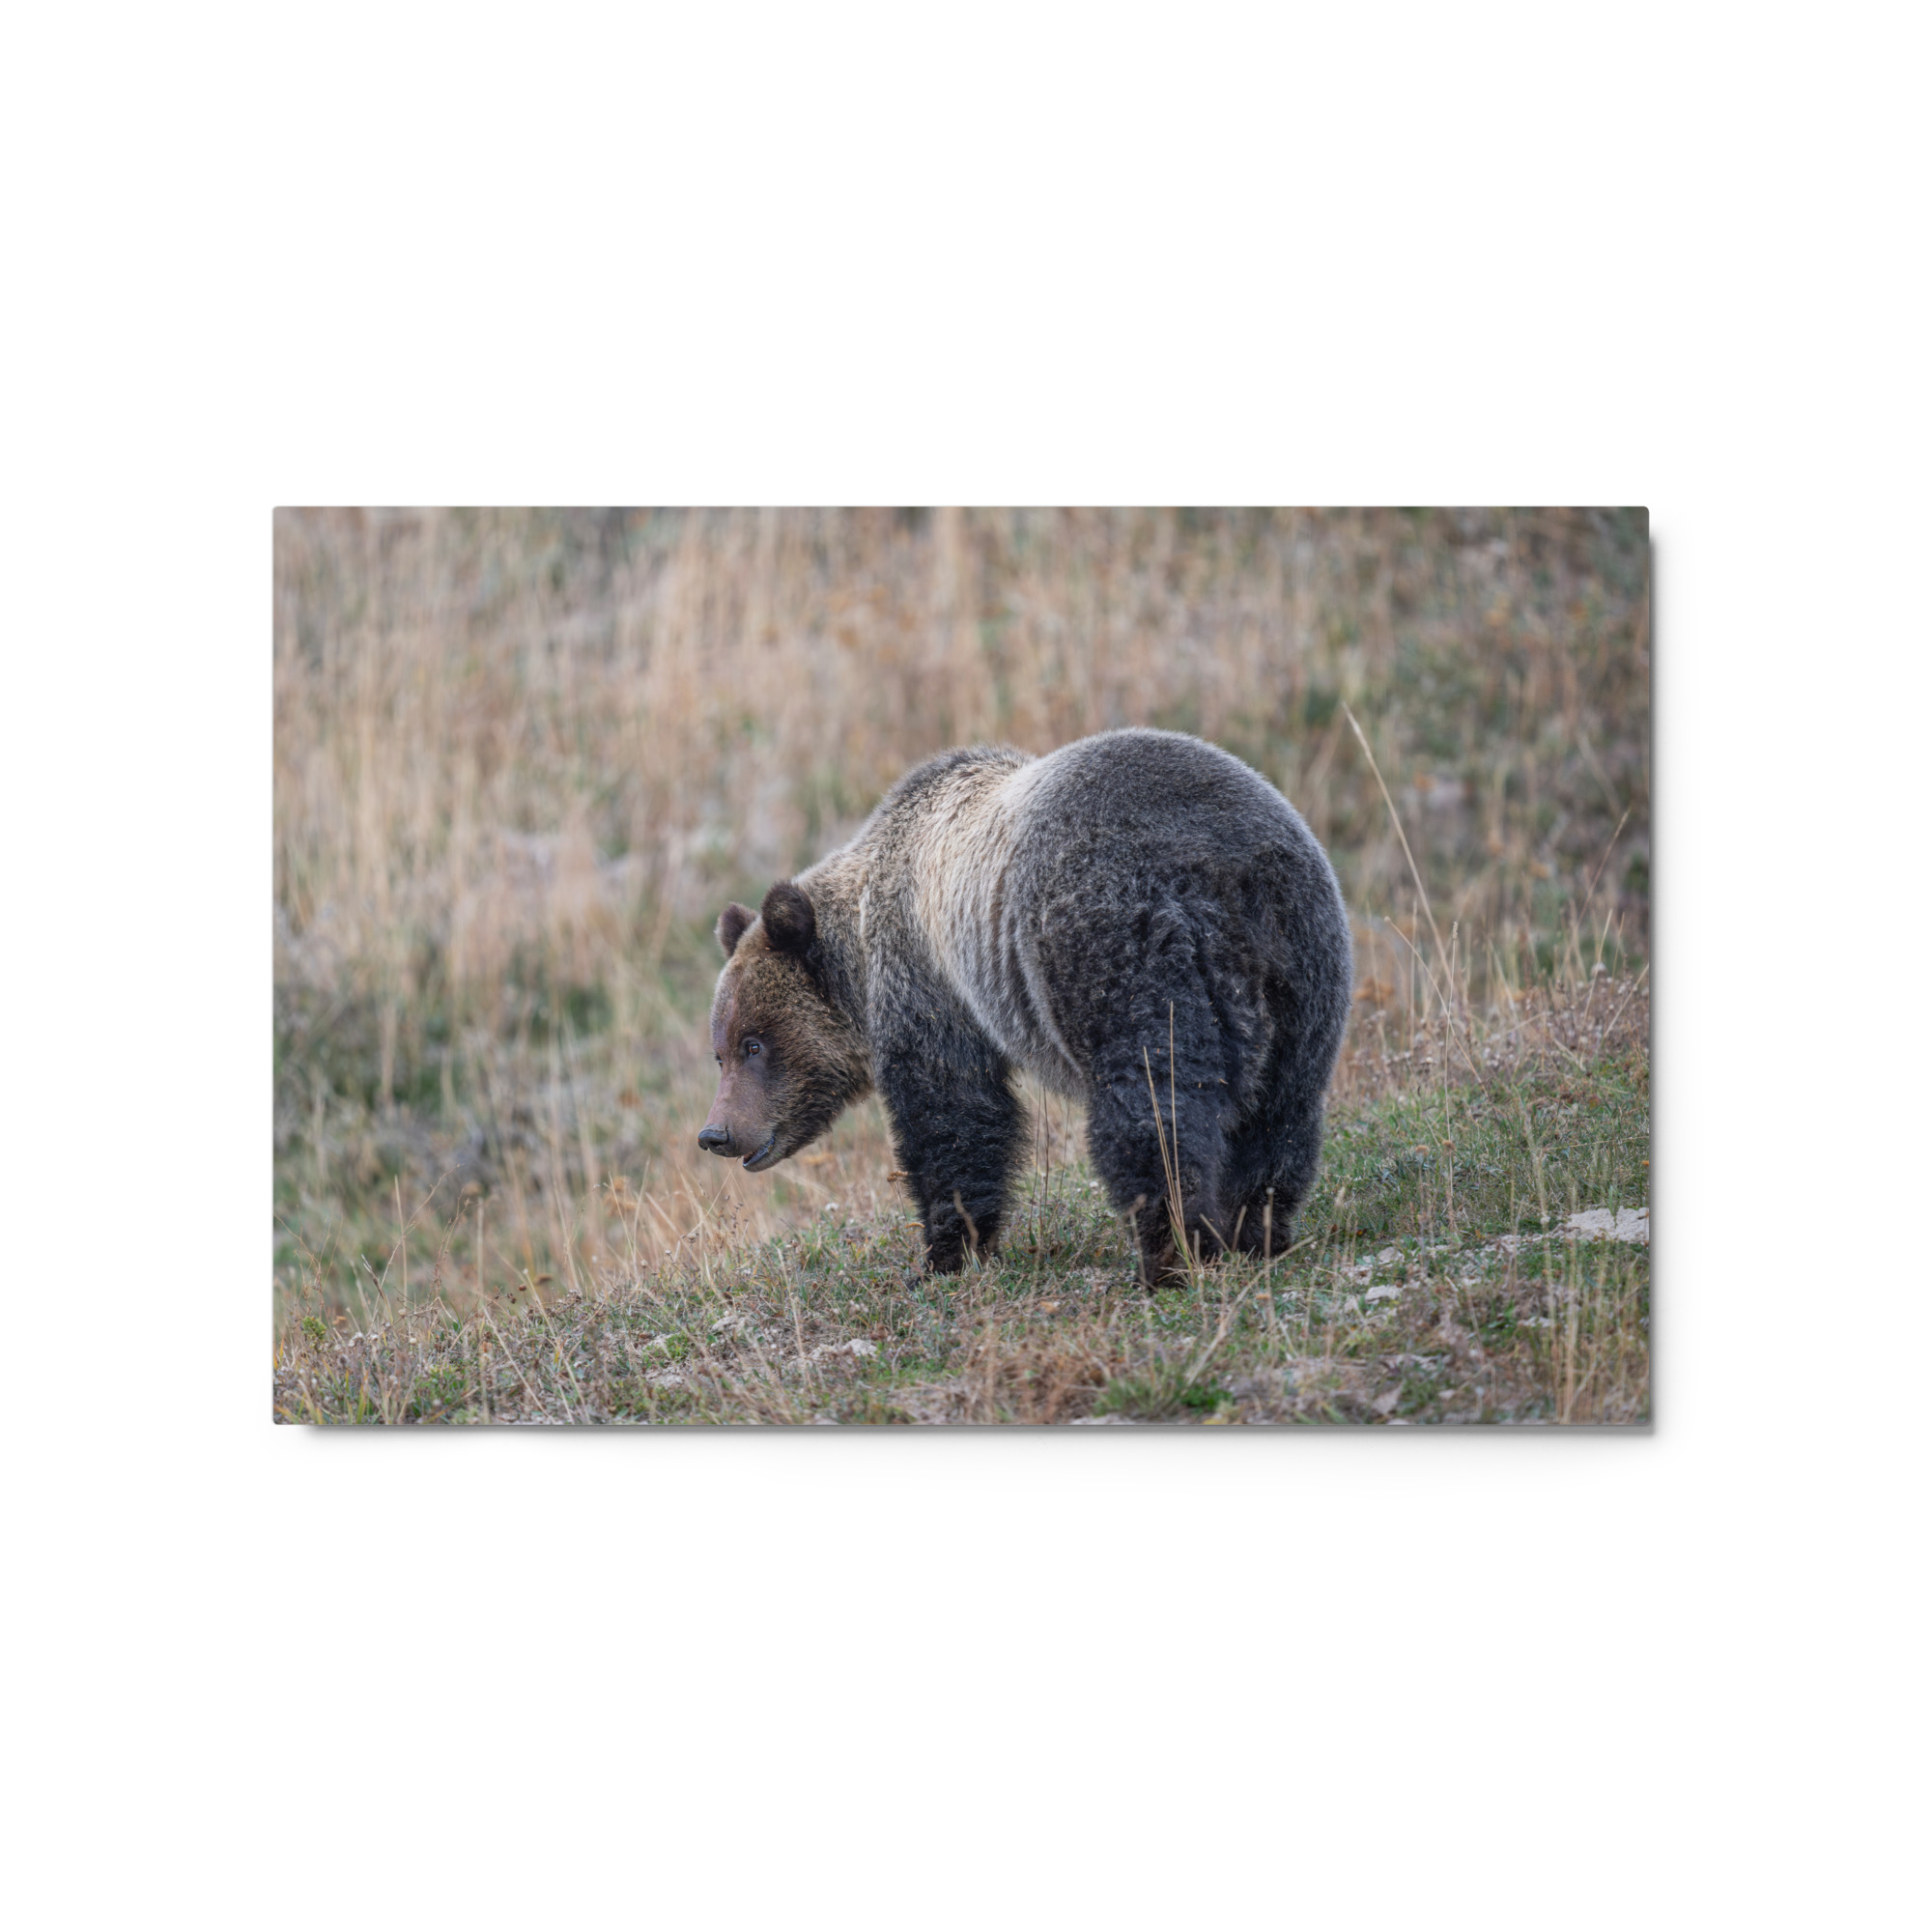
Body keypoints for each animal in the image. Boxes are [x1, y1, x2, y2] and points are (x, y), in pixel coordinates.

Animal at [698, 727, 1352, 1282]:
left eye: (754, 1043)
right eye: (720, 1052)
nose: (716, 1133)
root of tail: (1225, 871)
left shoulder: (929, 980)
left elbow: (953, 1114)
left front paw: (945, 1254)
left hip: (1118, 946)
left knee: (1153, 1106)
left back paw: (1170, 1253)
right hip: (1303, 965)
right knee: (1281, 1111)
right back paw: (1255, 1231)